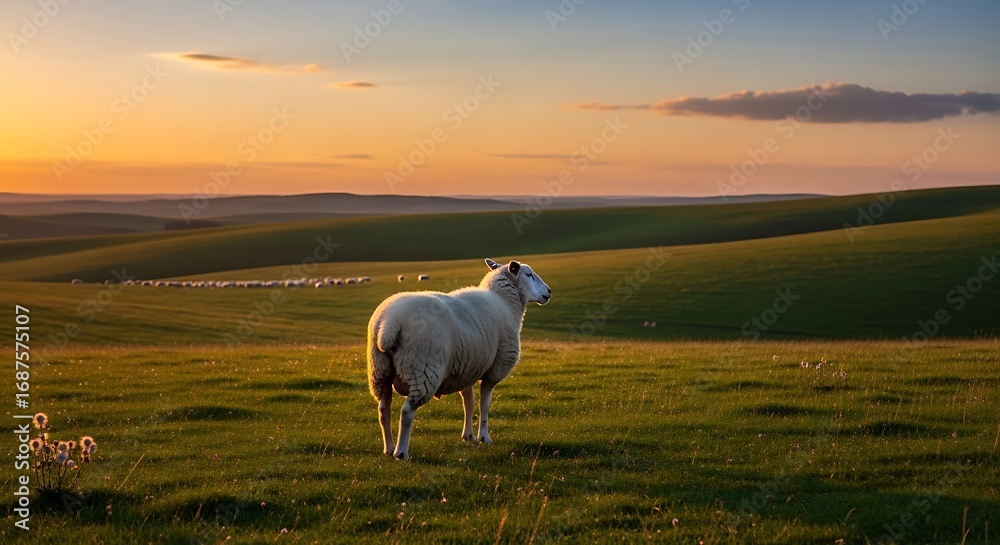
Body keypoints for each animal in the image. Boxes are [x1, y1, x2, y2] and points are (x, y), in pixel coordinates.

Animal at [367, 258, 552, 460]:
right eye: (529, 274)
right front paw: (484, 437)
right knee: (407, 411)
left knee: (383, 409)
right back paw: (401, 452)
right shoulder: (493, 371)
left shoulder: (466, 369)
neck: (505, 303)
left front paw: (468, 436)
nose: (549, 291)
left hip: (379, 370)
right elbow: (484, 405)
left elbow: (469, 403)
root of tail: (389, 325)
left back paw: (389, 447)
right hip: (422, 369)